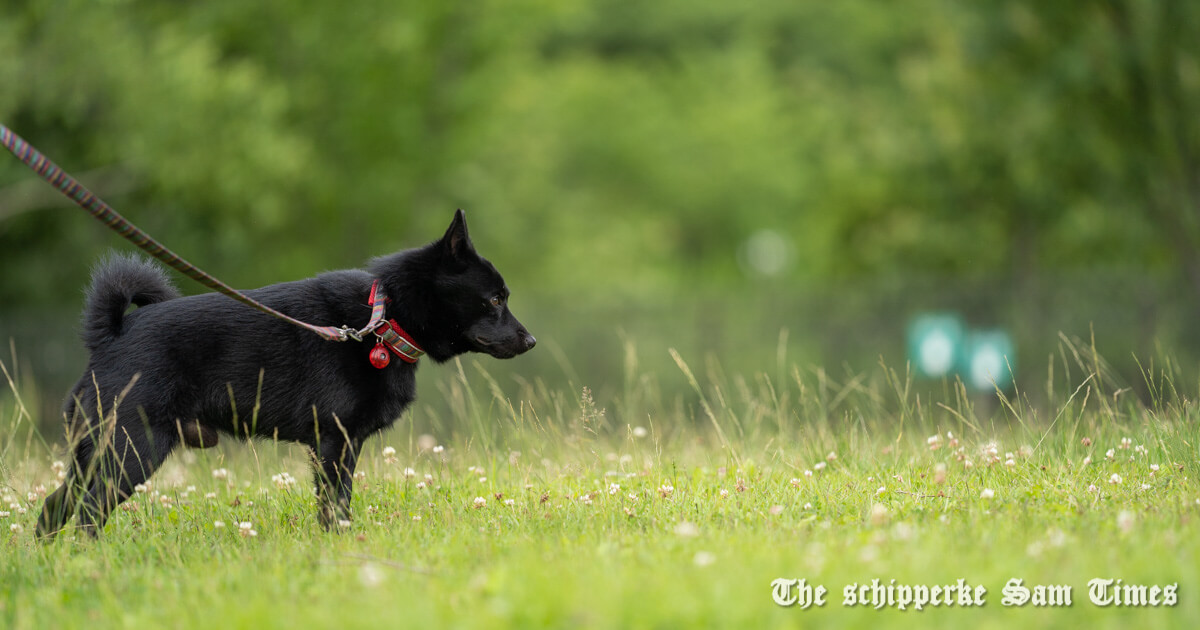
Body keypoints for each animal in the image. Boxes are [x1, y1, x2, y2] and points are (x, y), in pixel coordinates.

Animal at [38, 210, 535, 535]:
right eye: (495, 299)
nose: (530, 341)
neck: (382, 318)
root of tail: (111, 337)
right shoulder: (334, 443)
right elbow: (335, 507)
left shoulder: (342, 444)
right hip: (131, 452)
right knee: (86, 514)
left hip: (95, 455)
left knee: (53, 508)